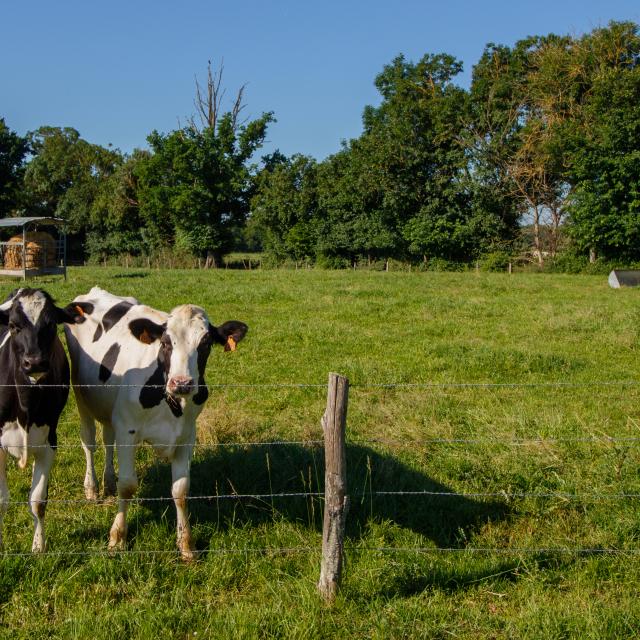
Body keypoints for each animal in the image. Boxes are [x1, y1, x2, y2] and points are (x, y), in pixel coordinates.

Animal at [0, 288, 74, 552]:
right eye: (13, 326)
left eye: (51, 324)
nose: (34, 363)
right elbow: (1, 501)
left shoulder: (49, 441)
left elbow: (38, 501)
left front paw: (38, 546)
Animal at [63, 288, 248, 556]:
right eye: (166, 342)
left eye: (205, 343)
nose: (182, 383)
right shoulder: (127, 431)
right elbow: (127, 485)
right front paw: (117, 537)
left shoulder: (186, 436)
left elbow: (181, 490)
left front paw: (186, 544)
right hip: (80, 393)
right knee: (89, 441)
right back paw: (92, 487)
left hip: (109, 408)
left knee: (107, 439)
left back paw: (108, 481)